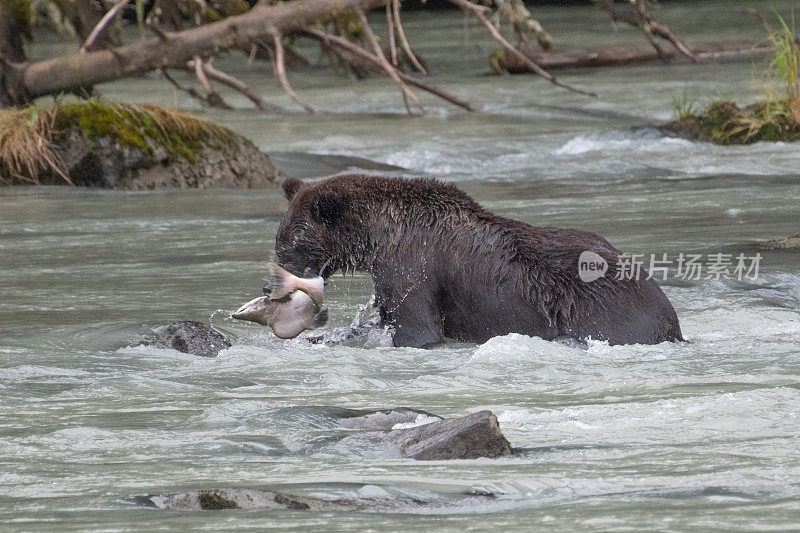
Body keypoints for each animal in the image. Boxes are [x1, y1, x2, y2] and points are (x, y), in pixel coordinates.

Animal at [276, 175, 680, 348]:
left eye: (290, 244)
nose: (271, 284)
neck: (379, 234)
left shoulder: (412, 266)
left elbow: (417, 329)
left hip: (606, 313)